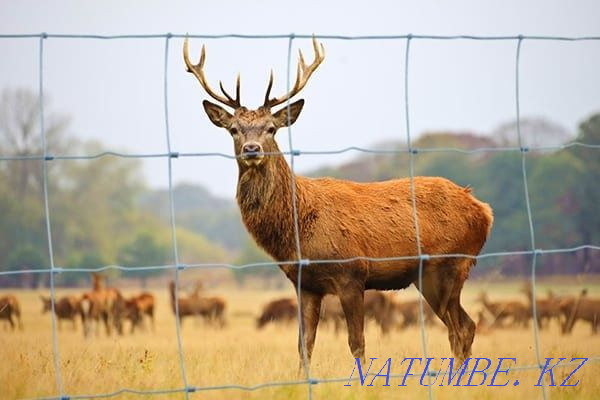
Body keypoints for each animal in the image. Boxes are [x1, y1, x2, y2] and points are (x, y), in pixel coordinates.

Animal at [183, 36, 492, 366]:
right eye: (233, 130)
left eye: (271, 128)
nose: (252, 149)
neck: (298, 228)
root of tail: (484, 211)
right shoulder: (304, 284)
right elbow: (304, 345)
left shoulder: (352, 273)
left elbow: (357, 343)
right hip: (430, 275)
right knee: (462, 328)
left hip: (450, 265)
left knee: (462, 328)